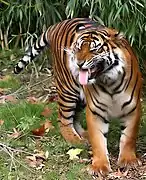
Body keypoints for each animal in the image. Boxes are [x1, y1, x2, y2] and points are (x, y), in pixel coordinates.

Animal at [13, 17, 141, 176]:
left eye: (95, 49)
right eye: (78, 48)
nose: (79, 63)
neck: (109, 82)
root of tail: (57, 24)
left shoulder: (133, 109)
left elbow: (128, 137)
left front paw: (129, 161)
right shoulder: (95, 111)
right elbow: (98, 140)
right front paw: (99, 166)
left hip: (80, 98)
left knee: (75, 118)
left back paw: (83, 135)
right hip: (68, 91)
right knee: (64, 120)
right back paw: (76, 141)